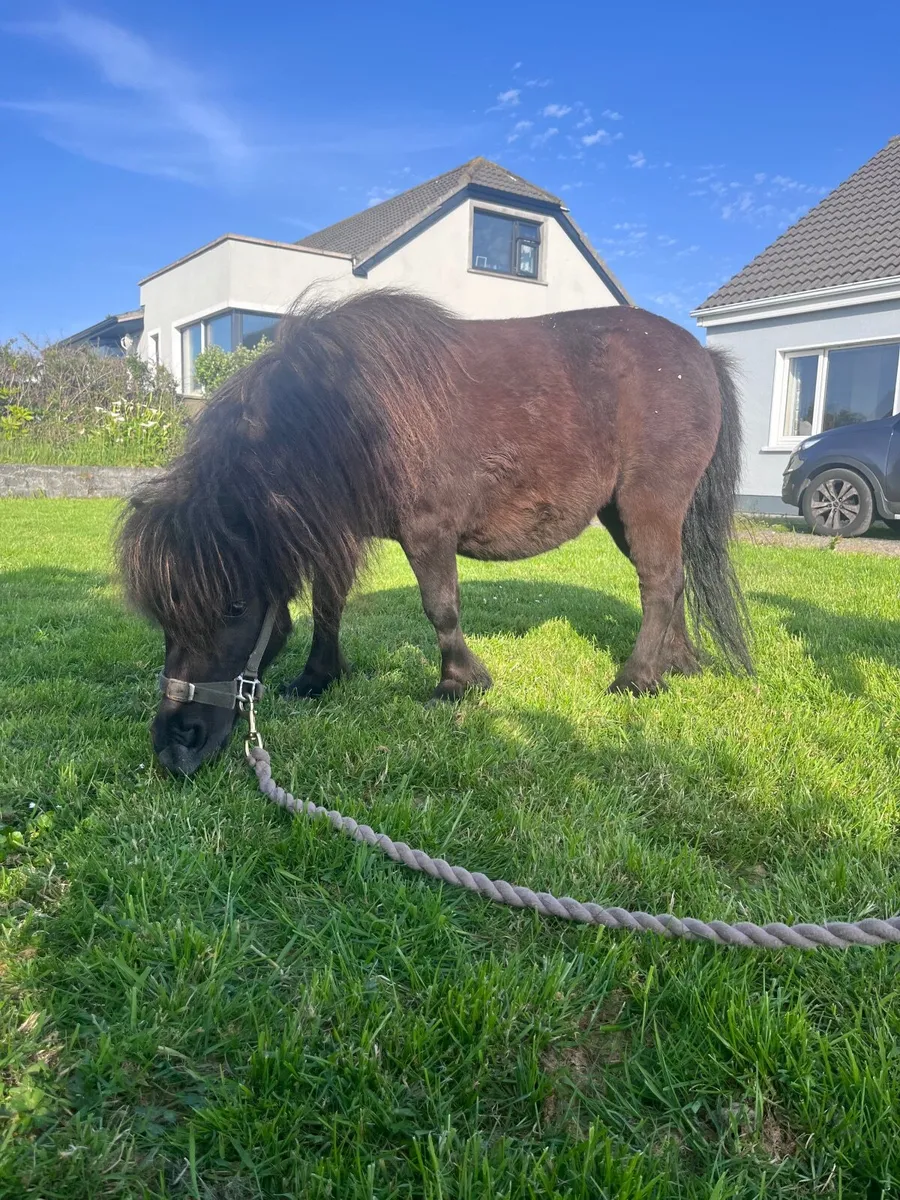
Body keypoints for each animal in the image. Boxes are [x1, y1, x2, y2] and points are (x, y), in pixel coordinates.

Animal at [117, 289, 751, 776]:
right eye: (163, 618)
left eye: (234, 607)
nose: (176, 744)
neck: (347, 414)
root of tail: (700, 355)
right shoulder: (340, 532)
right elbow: (328, 604)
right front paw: (319, 676)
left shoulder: (427, 533)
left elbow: (440, 607)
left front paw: (458, 683)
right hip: (623, 513)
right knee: (671, 581)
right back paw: (678, 664)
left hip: (649, 503)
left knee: (660, 583)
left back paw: (637, 679)